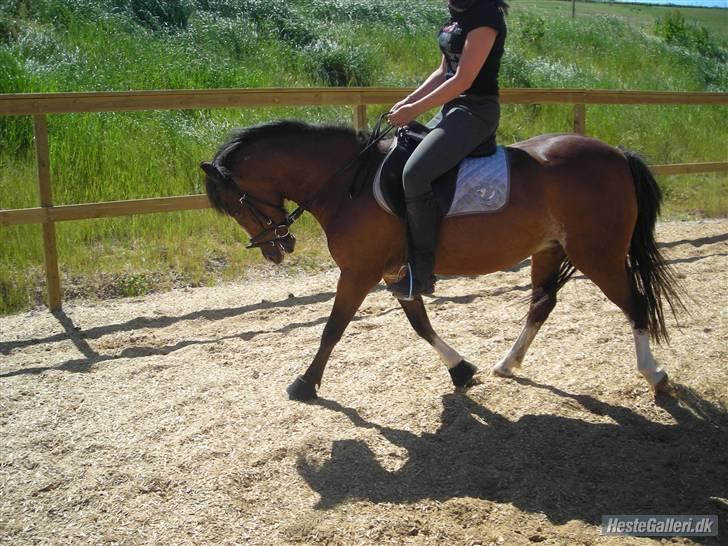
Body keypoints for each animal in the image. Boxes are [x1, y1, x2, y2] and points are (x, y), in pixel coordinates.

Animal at [200, 120, 684, 400]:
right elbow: (421, 325)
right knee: (541, 305)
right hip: (548, 251)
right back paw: (507, 364)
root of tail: (617, 153)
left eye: (236, 203)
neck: (347, 183)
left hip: (597, 254)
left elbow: (332, 329)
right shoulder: (396, 273)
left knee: (635, 303)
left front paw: (305, 384)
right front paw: (461, 370)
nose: (273, 248)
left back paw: (655, 376)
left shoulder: (358, 273)